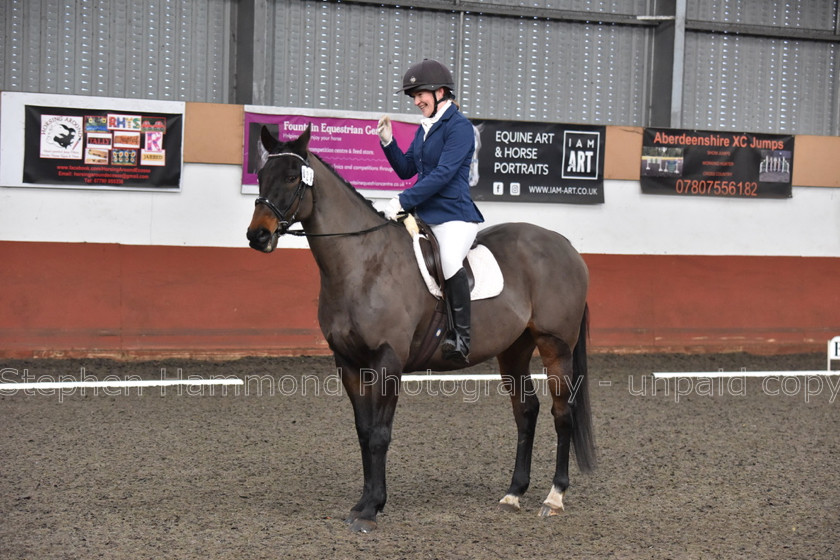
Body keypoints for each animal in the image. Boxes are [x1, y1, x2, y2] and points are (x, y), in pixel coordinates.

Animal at [246, 124, 592, 532]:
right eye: (261, 175)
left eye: (290, 177)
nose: (258, 236)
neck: (362, 264)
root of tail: (564, 245)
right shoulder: (348, 363)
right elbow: (364, 432)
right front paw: (363, 502)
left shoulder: (388, 361)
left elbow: (380, 435)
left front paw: (370, 510)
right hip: (514, 349)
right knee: (526, 411)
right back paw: (513, 494)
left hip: (555, 346)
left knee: (562, 412)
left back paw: (554, 497)